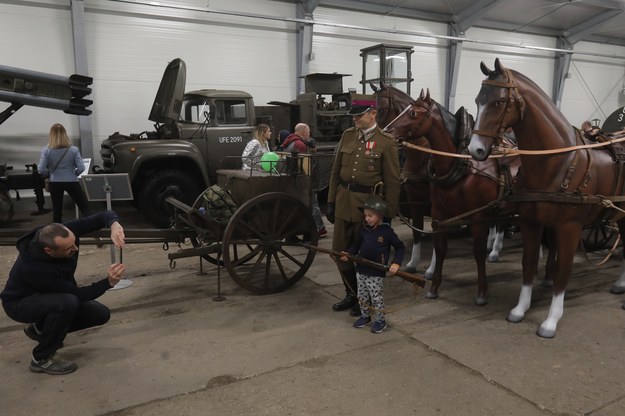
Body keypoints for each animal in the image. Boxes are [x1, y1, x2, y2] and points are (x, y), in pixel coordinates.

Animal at [388, 89, 520, 304]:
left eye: (413, 113)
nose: (385, 131)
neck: (461, 164)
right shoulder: (440, 214)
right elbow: (440, 248)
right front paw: (433, 288)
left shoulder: (477, 216)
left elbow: (477, 251)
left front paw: (482, 292)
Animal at [468, 58, 624, 338]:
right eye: (477, 100)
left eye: (498, 102)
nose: (475, 149)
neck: (557, 163)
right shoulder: (531, 223)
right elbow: (528, 264)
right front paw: (520, 309)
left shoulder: (569, 228)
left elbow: (562, 271)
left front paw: (551, 321)